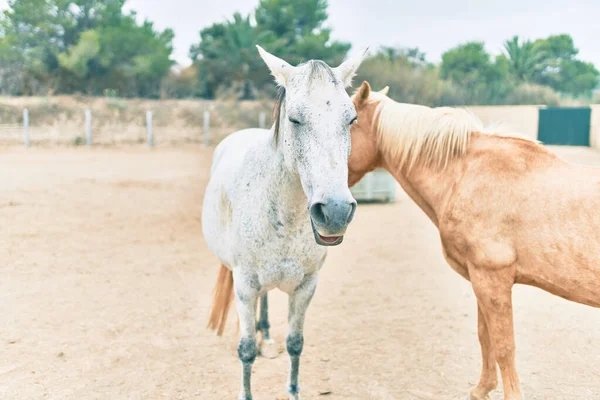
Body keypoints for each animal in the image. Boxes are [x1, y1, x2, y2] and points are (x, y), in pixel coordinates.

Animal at [204, 45, 368, 398]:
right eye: (294, 118)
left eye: (352, 119)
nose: (334, 211)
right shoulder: (245, 285)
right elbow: (245, 349)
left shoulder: (306, 286)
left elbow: (296, 343)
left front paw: (292, 390)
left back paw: (267, 337)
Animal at [346, 79, 600, 398]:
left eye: (345, 123)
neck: (465, 175)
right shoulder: (480, 279)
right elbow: (485, 336)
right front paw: (482, 389)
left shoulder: (492, 278)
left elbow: (504, 346)